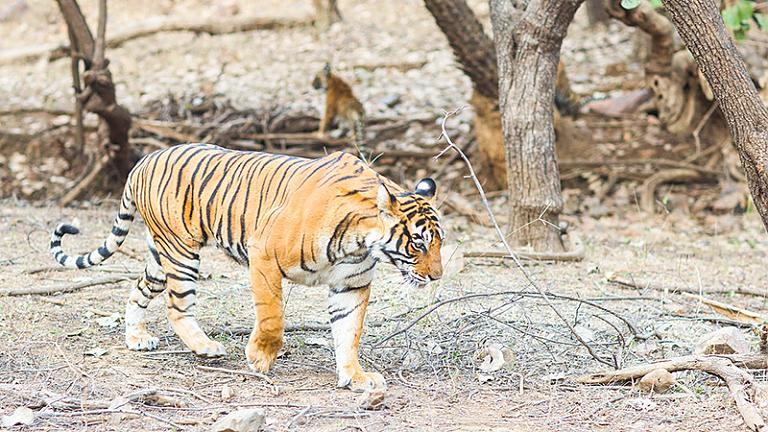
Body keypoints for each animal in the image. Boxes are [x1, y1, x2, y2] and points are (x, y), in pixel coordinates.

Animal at [50, 144, 444, 392]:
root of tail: (142, 161)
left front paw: (355, 377)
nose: (437, 276)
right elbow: (272, 317)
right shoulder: (264, 256)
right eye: (419, 242)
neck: (361, 242)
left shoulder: (351, 285)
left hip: (160, 256)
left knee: (138, 289)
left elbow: (349, 333)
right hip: (181, 252)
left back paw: (137, 338)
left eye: (439, 242)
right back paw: (205, 347)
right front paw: (260, 358)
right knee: (177, 306)